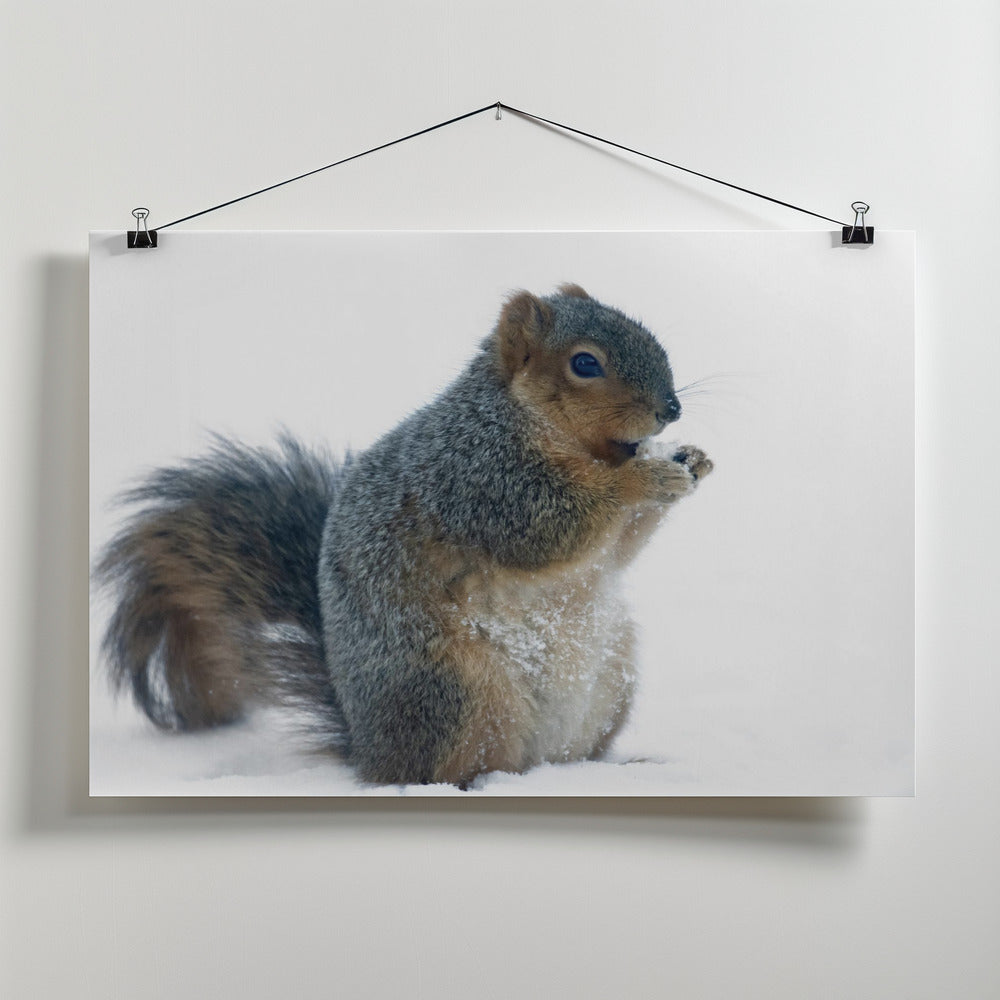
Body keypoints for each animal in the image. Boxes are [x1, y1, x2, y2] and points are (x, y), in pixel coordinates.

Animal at [96, 283, 713, 787]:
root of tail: (367, 748)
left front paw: (693, 461)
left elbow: (618, 551)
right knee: (443, 770)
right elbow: (552, 527)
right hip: (451, 691)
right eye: (585, 363)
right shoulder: (478, 481)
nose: (672, 409)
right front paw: (646, 477)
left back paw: (621, 769)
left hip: (611, 683)